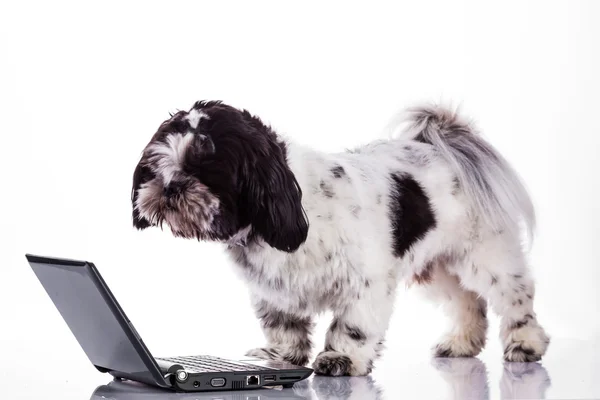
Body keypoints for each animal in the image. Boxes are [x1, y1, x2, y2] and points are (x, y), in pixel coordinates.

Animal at [131, 100, 548, 376]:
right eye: (157, 164)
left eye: (207, 167)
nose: (170, 186)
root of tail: (446, 144)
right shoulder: (273, 292)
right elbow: (283, 328)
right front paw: (280, 359)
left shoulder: (366, 283)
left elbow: (352, 326)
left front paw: (340, 358)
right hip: (436, 266)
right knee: (467, 303)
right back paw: (461, 343)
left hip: (486, 256)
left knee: (515, 297)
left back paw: (525, 343)